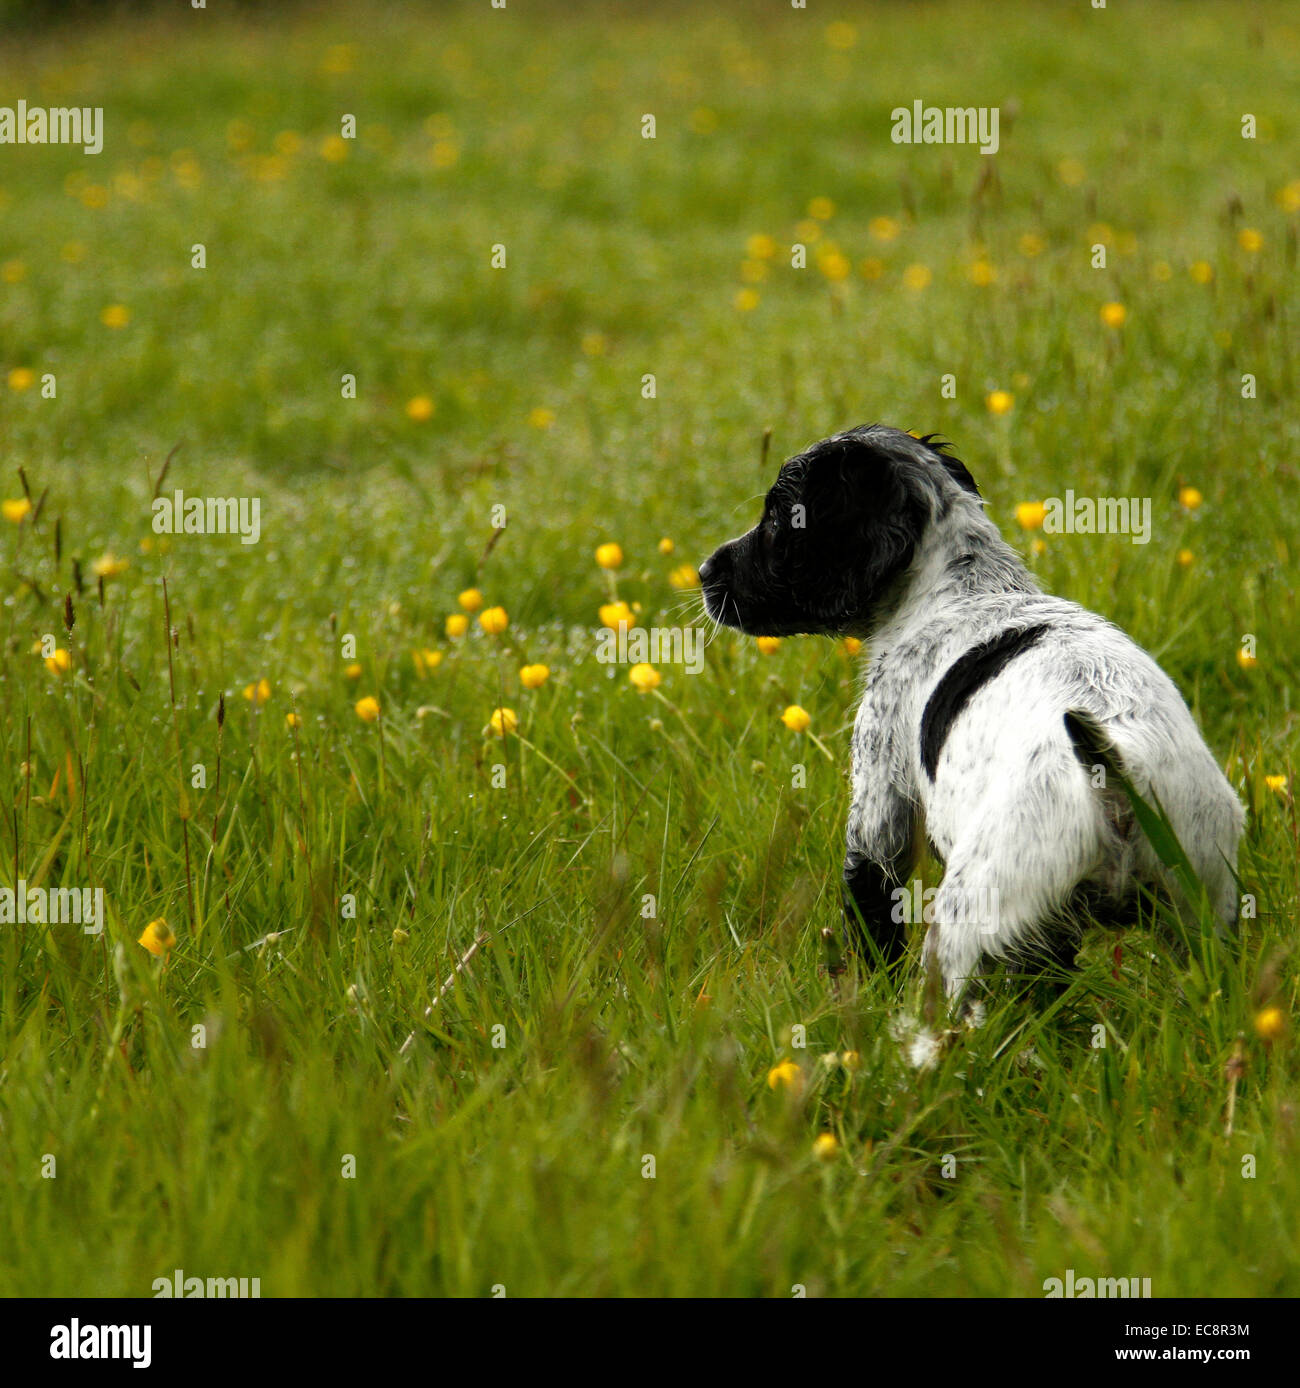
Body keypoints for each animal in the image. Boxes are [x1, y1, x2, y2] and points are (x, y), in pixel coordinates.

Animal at [704, 421, 1243, 999]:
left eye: (778, 519)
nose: (703, 571)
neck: (960, 590)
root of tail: (1117, 792)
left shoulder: (879, 809)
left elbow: (873, 919)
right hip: (1202, 919)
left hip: (970, 919)